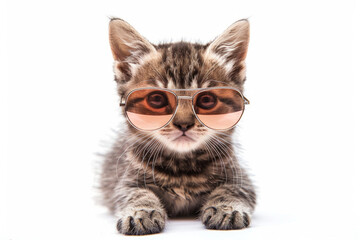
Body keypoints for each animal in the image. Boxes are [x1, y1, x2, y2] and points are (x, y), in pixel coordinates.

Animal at [99, 18, 256, 234]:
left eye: (206, 100)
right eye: (157, 99)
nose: (184, 124)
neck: (182, 168)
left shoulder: (241, 178)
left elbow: (231, 189)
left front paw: (226, 208)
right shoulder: (125, 180)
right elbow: (136, 193)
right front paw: (140, 212)